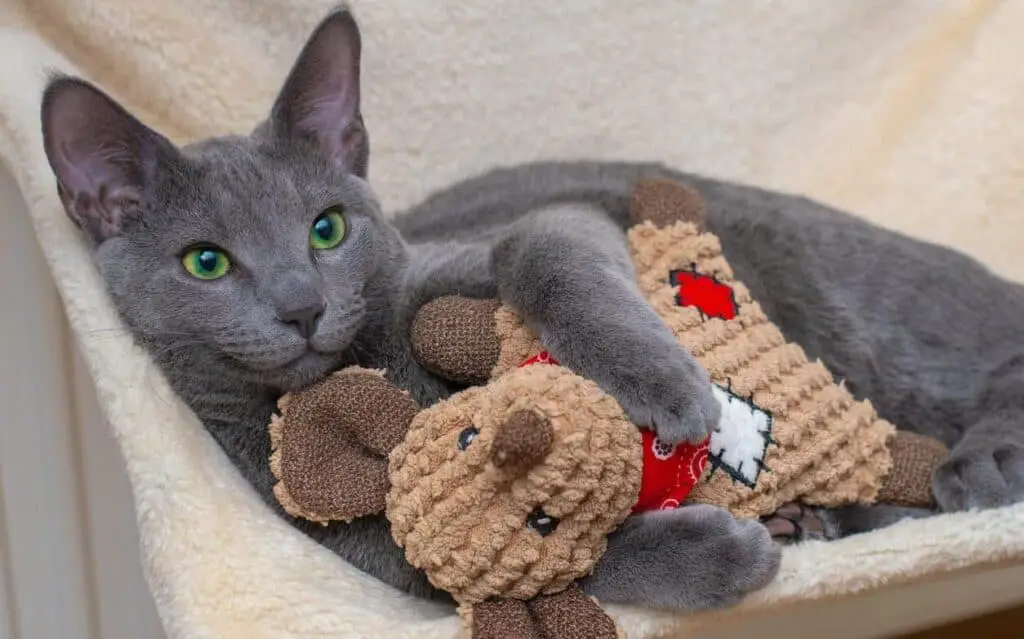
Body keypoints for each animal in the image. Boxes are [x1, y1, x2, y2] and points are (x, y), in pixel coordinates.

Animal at [39, 3, 1024, 614]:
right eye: (205, 261)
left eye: (327, 228)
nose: (301, 306)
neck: (379, 375)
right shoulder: (372, 550)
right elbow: (522, 565)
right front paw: (718, 552)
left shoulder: (531, 229)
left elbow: (541, 250)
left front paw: (670, 388)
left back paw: (981, 465)